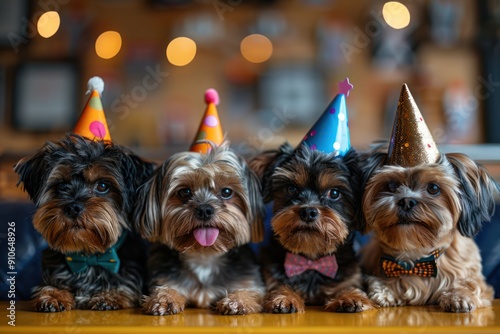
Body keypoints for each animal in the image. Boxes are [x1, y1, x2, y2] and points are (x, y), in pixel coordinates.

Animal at [14, 134, 154, 312]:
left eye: (102, 185)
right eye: (62, 185)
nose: (73, 207)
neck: (88, 257)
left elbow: (123, 289)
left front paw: (107, 296)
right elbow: (50, 287)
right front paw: (53, 296)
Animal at [133, 142, 266, 316]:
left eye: (227, 191)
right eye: (184, 192)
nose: (204, 209)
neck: (205, 257)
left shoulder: (248, 281)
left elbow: (250, 292)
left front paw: (237, 301)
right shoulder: (164, 277)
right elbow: (166, 288)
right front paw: (164, 299)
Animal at [252, 143, 376, 314]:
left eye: (334, 193)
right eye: (291, 189)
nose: (308, 212)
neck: (311, 259)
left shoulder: (349, 276)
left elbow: (347, 287)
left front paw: (350, 297)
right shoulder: (273, 275)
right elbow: (281, 286)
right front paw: (285, 297)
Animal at [360, 145, 500, 312]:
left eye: (433, 188)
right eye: (392, 185)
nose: (406, 201)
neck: (416, 255)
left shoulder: (478, 281)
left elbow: (469, 283)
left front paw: (459, 296)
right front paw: (385, 290)